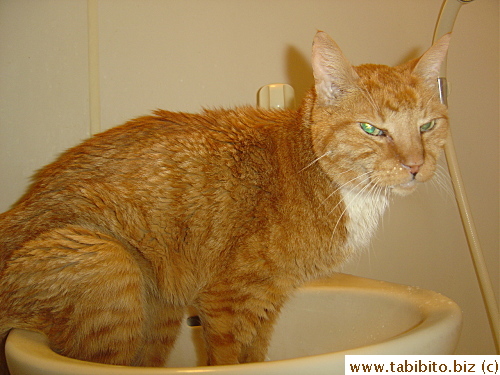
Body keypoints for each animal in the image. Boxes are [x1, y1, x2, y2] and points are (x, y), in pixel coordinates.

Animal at [0, 32, 452, 374]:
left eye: (427, 126)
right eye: (372, 129)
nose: (415, 165)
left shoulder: (270, 300)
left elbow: (256, 355)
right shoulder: (228, 299)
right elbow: (229, 358)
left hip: (161, 312)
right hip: (106, 262)